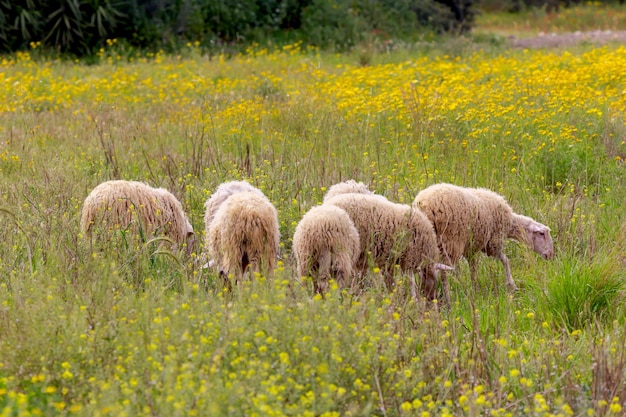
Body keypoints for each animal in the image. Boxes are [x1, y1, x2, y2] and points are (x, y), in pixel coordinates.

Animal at [414, 182, 552, 292]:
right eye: (542, 234)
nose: (550, 255)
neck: (510, 222)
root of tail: (424, 204)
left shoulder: (471, 247)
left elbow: (473, 267)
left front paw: (474, 286)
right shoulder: (493, 243)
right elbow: (505, 260)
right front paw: (511, 284)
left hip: (424, 242)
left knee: (424, 270)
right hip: (450, 242)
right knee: (443, 272)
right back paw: (446, 294)